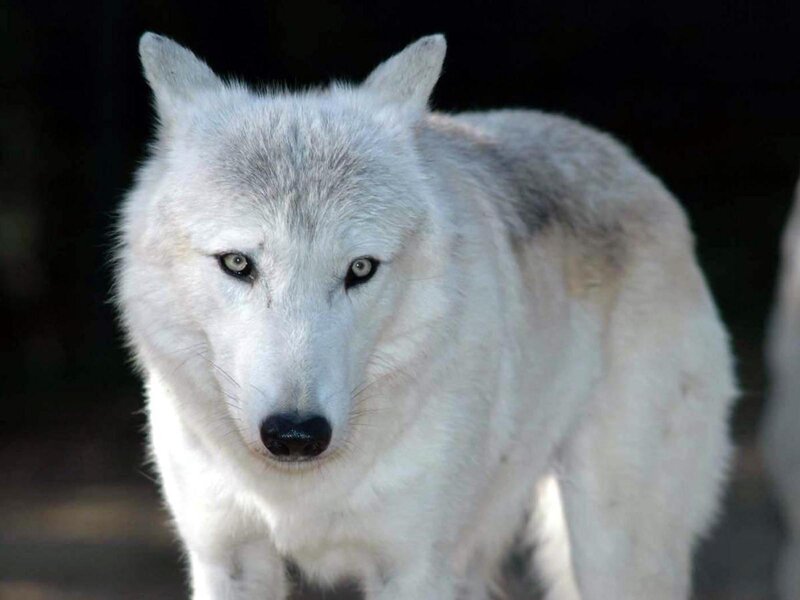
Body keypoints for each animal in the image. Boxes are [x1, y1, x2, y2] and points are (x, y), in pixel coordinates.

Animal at [116, 32, 736, 600]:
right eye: (238, 263)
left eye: (360, 268)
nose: (296, 435)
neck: (298, 493)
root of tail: (630, 165)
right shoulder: (226, 559)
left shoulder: (414, 569)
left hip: (611, 550)